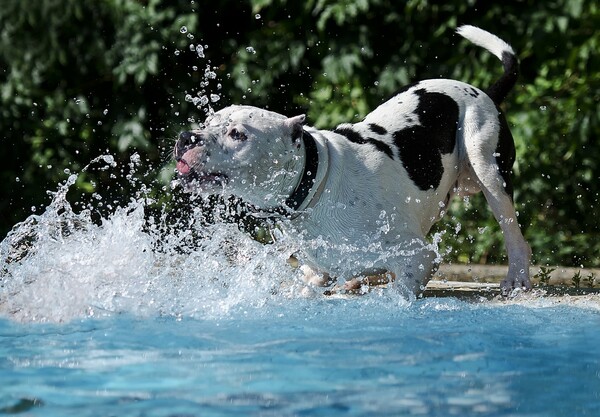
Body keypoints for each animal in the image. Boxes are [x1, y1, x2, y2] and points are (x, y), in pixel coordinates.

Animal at [172, 25, 528, 296]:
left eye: (238, 134)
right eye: (206, 123)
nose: (187, 137)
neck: (315, 187)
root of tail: (485, 92)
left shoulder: (419, 257)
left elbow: (399, 291)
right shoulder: (315, 271)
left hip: (488, 170)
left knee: (513, 232)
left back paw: (517, 278)